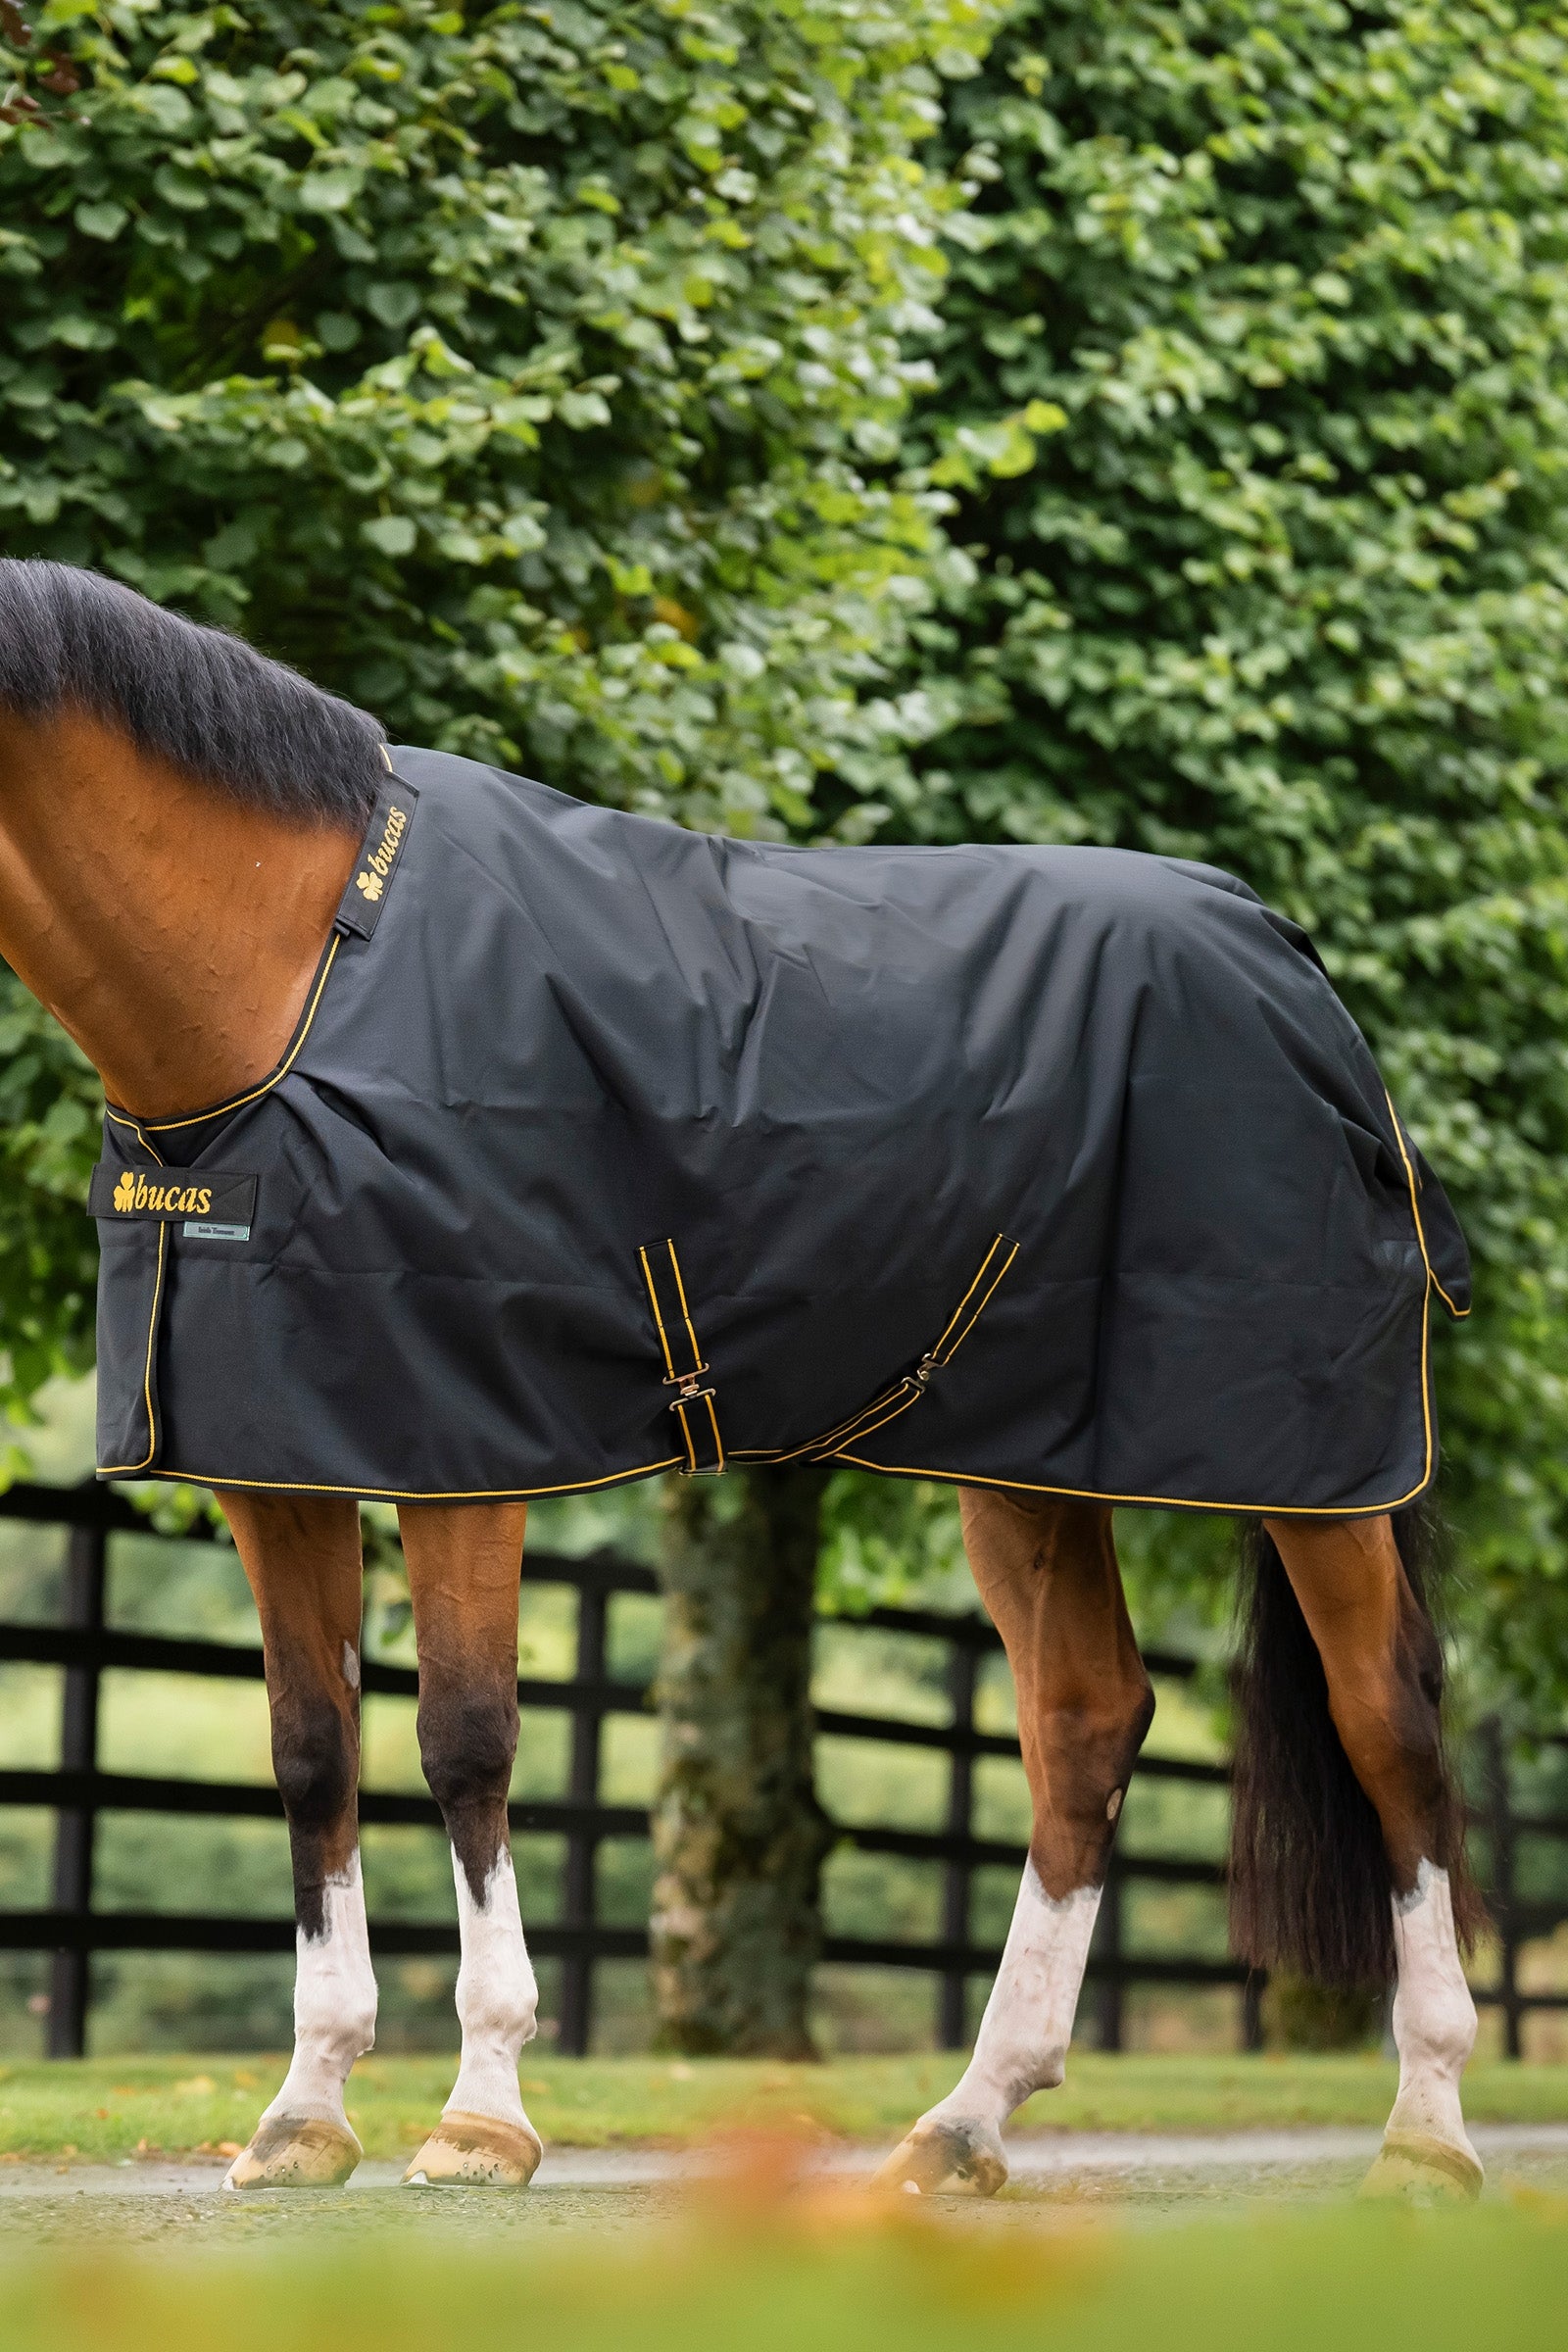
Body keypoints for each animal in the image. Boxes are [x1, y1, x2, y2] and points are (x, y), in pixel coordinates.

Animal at [0, 559, 1482, 2202]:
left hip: (1314, 1461)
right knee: (1086, 1722)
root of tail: (1289, 964)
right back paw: (966, 2121)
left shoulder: (476, 1453)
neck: (304, 973)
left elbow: (465, 1743)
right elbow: (312, 1757)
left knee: (1388, 1720)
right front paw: (304, 2115)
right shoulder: (281, 1468)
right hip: (1027, 1462)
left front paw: (482, 2115)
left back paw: (1427, 2130)